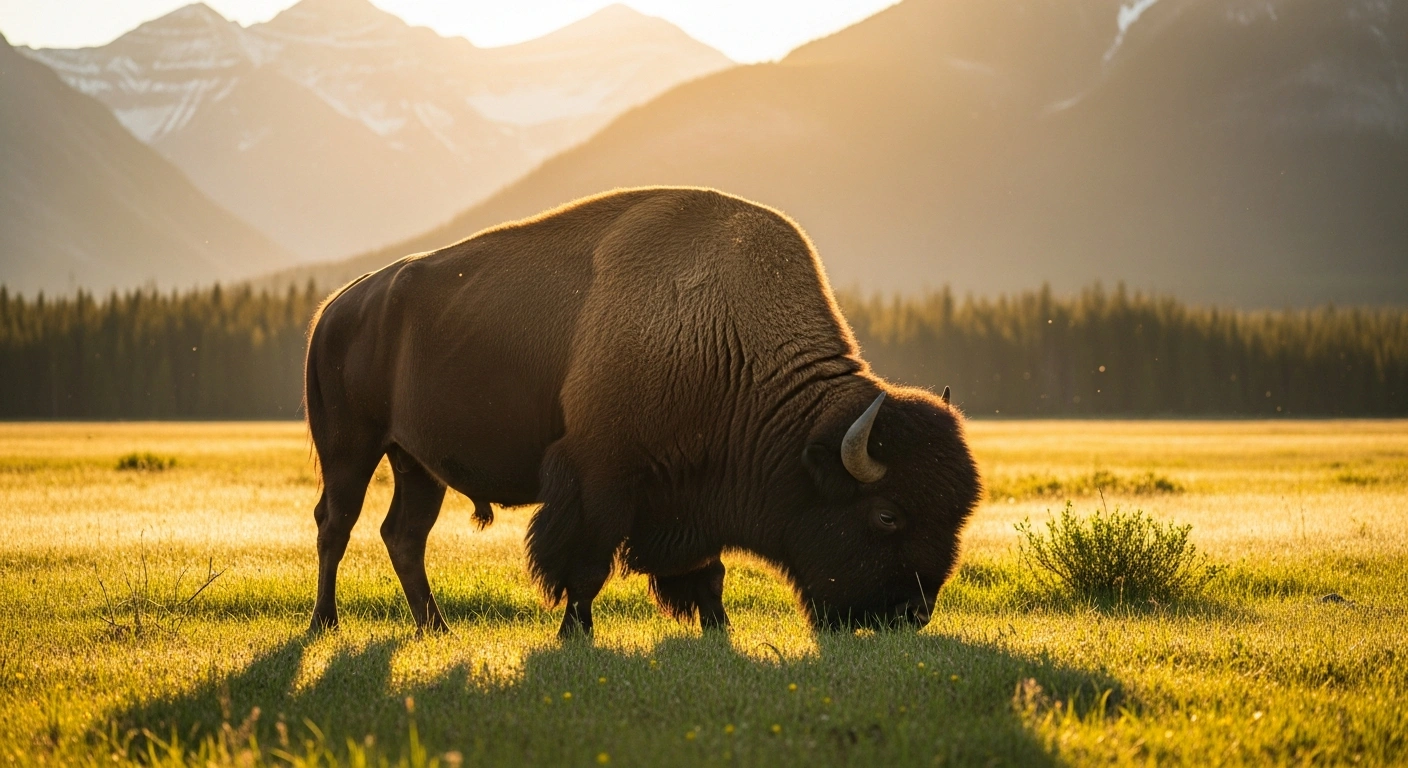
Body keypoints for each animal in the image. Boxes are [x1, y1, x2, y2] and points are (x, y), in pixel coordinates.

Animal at [304, 187, 980, 637]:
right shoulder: (601, 477)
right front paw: (575, 635)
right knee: (336, 525)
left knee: (404, 535)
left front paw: (716, 630)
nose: (911, 613)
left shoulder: (689, 496)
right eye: (887, 515)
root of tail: (337, 307)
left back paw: (435, 629)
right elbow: (586, 566)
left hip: (416, 463)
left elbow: (707, 572)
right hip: (350, 449)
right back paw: (325, 624)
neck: (723, 340)